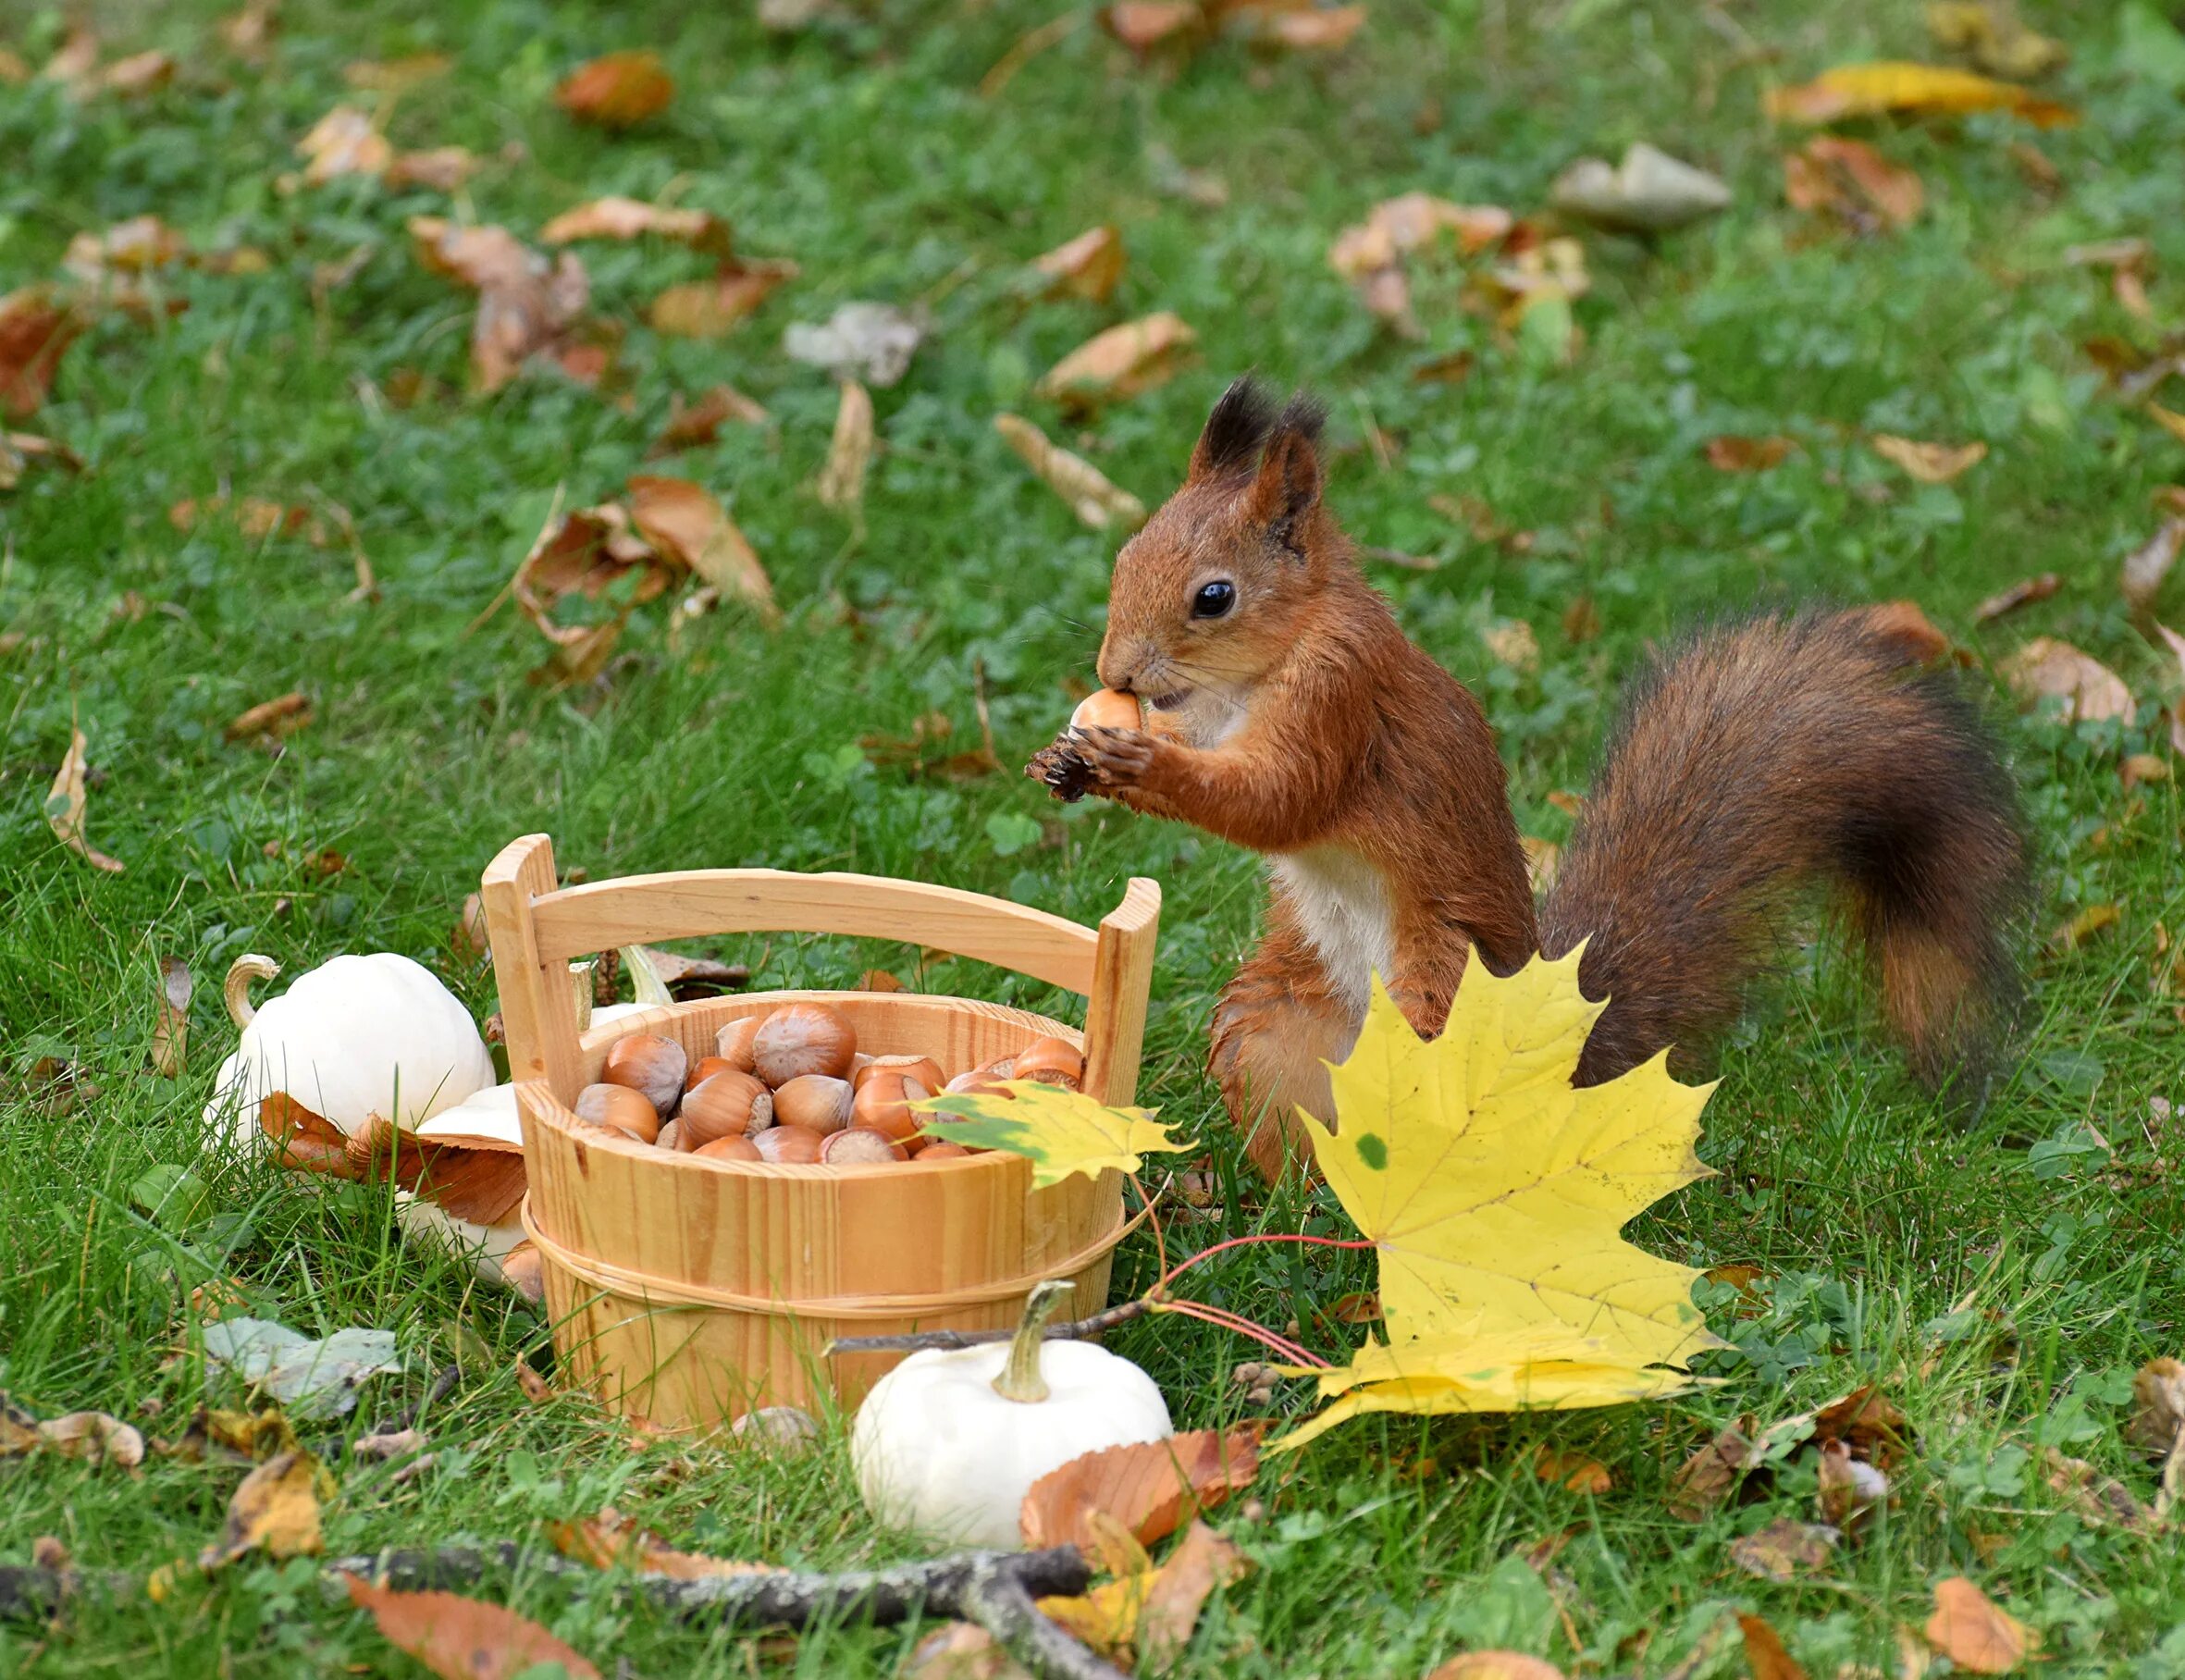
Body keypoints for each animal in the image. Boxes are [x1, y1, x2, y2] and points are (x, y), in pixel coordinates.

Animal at [1031, 377, 2018, 1180]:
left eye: (1215, 596)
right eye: (1125, 558)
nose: (1115, 669)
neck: (1252, 676)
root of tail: (1557, 1048)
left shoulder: (1341, 700)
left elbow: (1278, 798)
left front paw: (1140, 762)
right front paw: (1068, 755)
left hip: (1440, 994)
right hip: (1274, 1024)